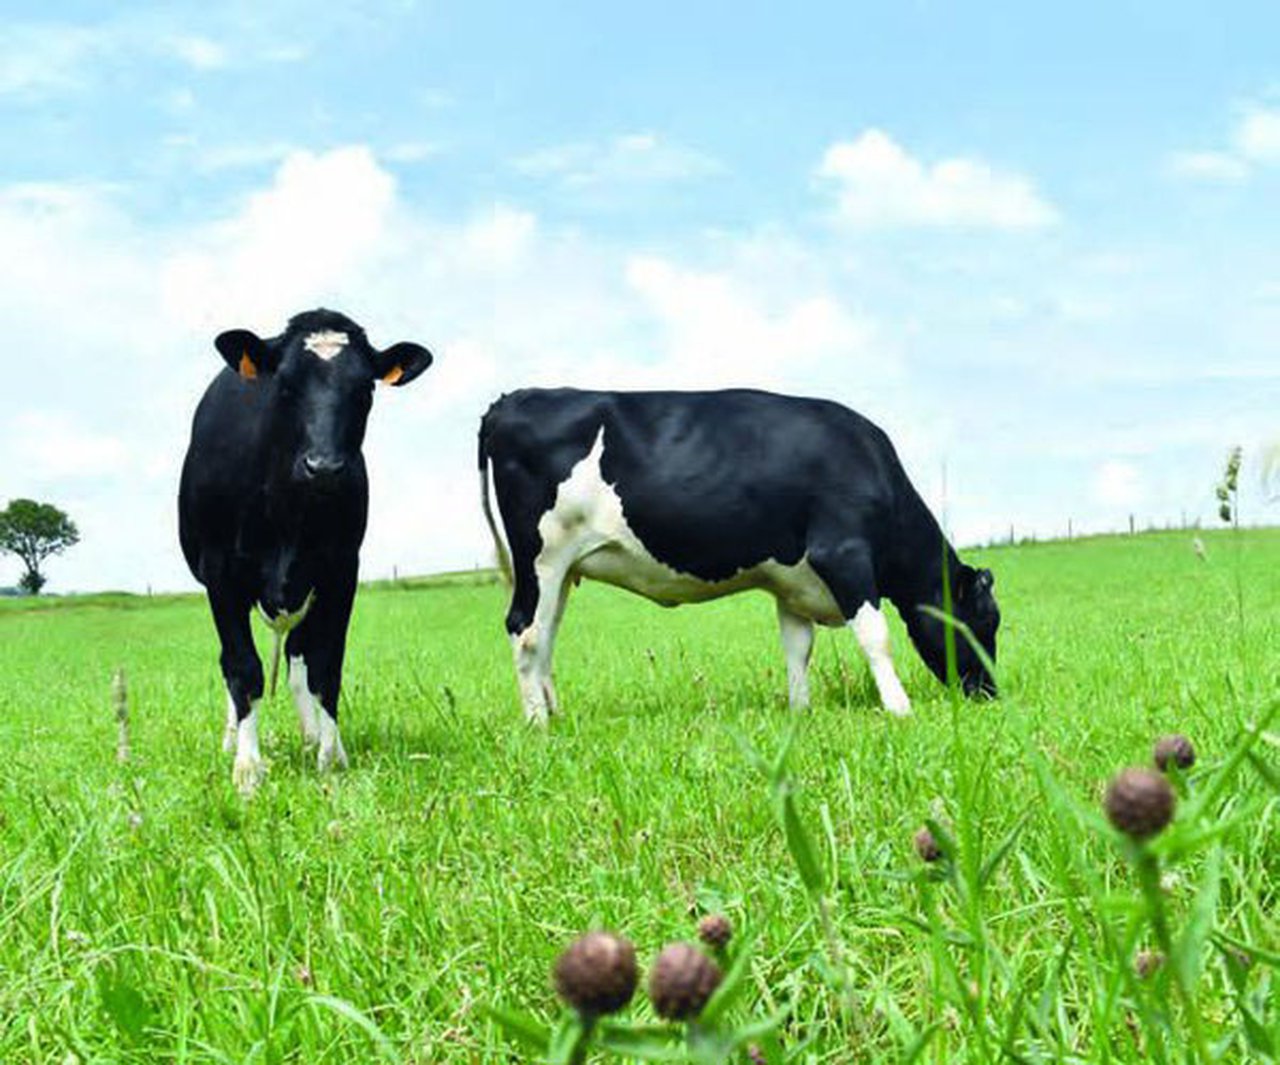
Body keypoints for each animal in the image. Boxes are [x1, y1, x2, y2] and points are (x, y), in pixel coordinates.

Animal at [179, 309, 433, 794]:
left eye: (366, 388)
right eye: (284, 385)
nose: (325, 467)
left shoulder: (341, 570)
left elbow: (325, 667)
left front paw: (330, 755)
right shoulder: (220, 572)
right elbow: (243, 668)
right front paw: (247, 767)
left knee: (298, 660)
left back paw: (311, 733)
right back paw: (231, 740)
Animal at [478, 388, 999, 723]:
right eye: (985, 622)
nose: (990, 693)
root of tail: (512, 398)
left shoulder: (794, 583)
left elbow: (797, 648)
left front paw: (800, 711)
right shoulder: (842, 554)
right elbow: (876, 636)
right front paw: (899, 708)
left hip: (562, 570)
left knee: (545, 634)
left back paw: (554, 713)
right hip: (540, 558)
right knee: (525, 631)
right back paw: (537, 724)